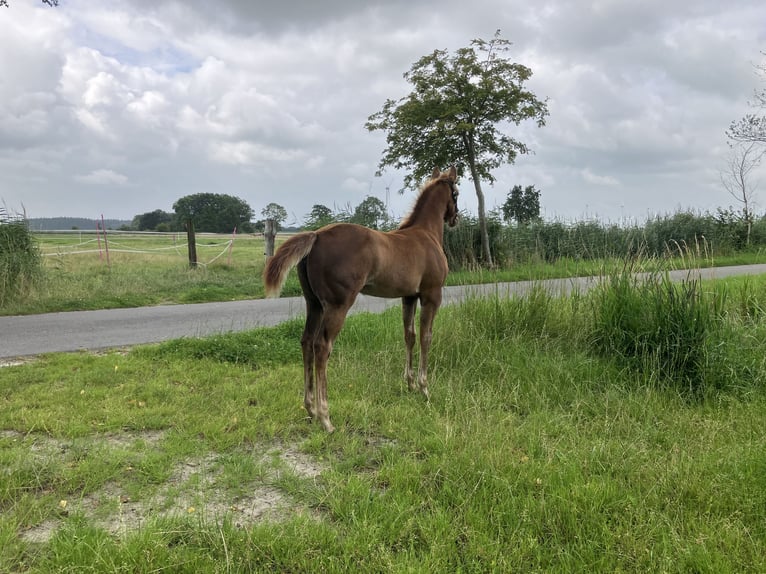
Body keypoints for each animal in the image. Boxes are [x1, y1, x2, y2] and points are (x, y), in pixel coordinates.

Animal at [263, 166, 459, 432]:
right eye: (456, 192)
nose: (455, 218)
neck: (426, 234)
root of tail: (316, 235)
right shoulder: (431, 295)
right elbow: (426, 338)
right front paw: (424, 388)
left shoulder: (408, 297)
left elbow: (409, 336)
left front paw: (409, 384)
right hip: (338, 305)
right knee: (321, 346)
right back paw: (325, 418)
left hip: (314, 304)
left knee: (306, 342)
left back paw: (310, 408)